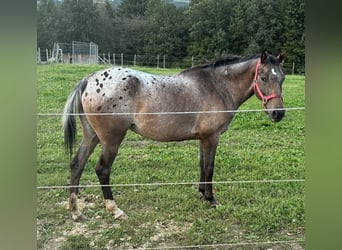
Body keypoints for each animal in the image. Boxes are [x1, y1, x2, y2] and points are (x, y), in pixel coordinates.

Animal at [62, 48, 286, 221]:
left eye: (282, 78)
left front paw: (202, 194)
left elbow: (202, 165)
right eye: (263, 78)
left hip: (91, 136)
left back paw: (76, 211)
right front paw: (211, 199)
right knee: (102, 170)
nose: (278, 113)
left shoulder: (203, 139)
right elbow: (209, 167)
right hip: (111, 140)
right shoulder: (212, 137)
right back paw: (115, 210)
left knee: (77, 164)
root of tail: (89, 80)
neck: (216, 86)